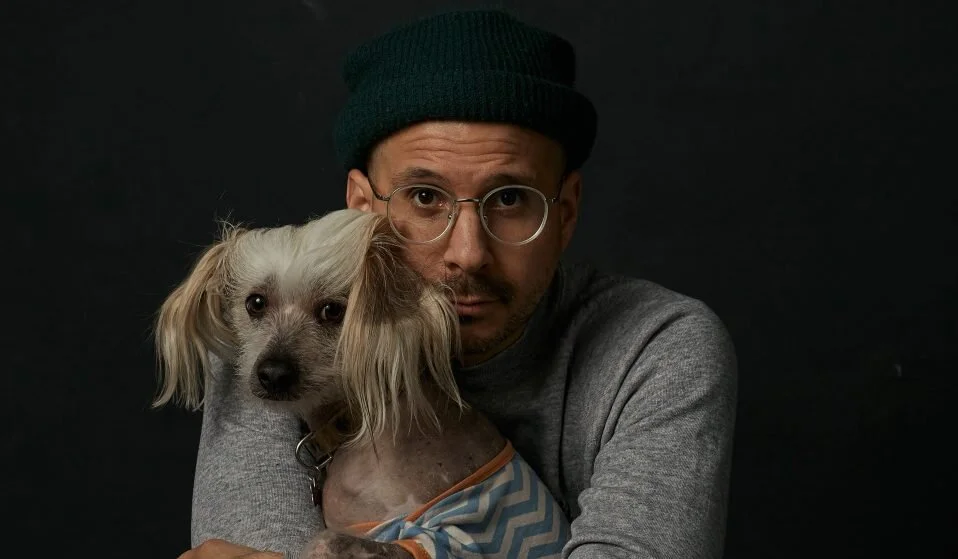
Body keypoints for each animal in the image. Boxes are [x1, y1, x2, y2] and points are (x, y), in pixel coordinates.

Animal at [153, 208, 569, 559]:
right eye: (255, 303)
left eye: (333, 311)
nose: (272, 374)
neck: (350, 424)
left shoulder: (441, 538)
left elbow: (324, 540)